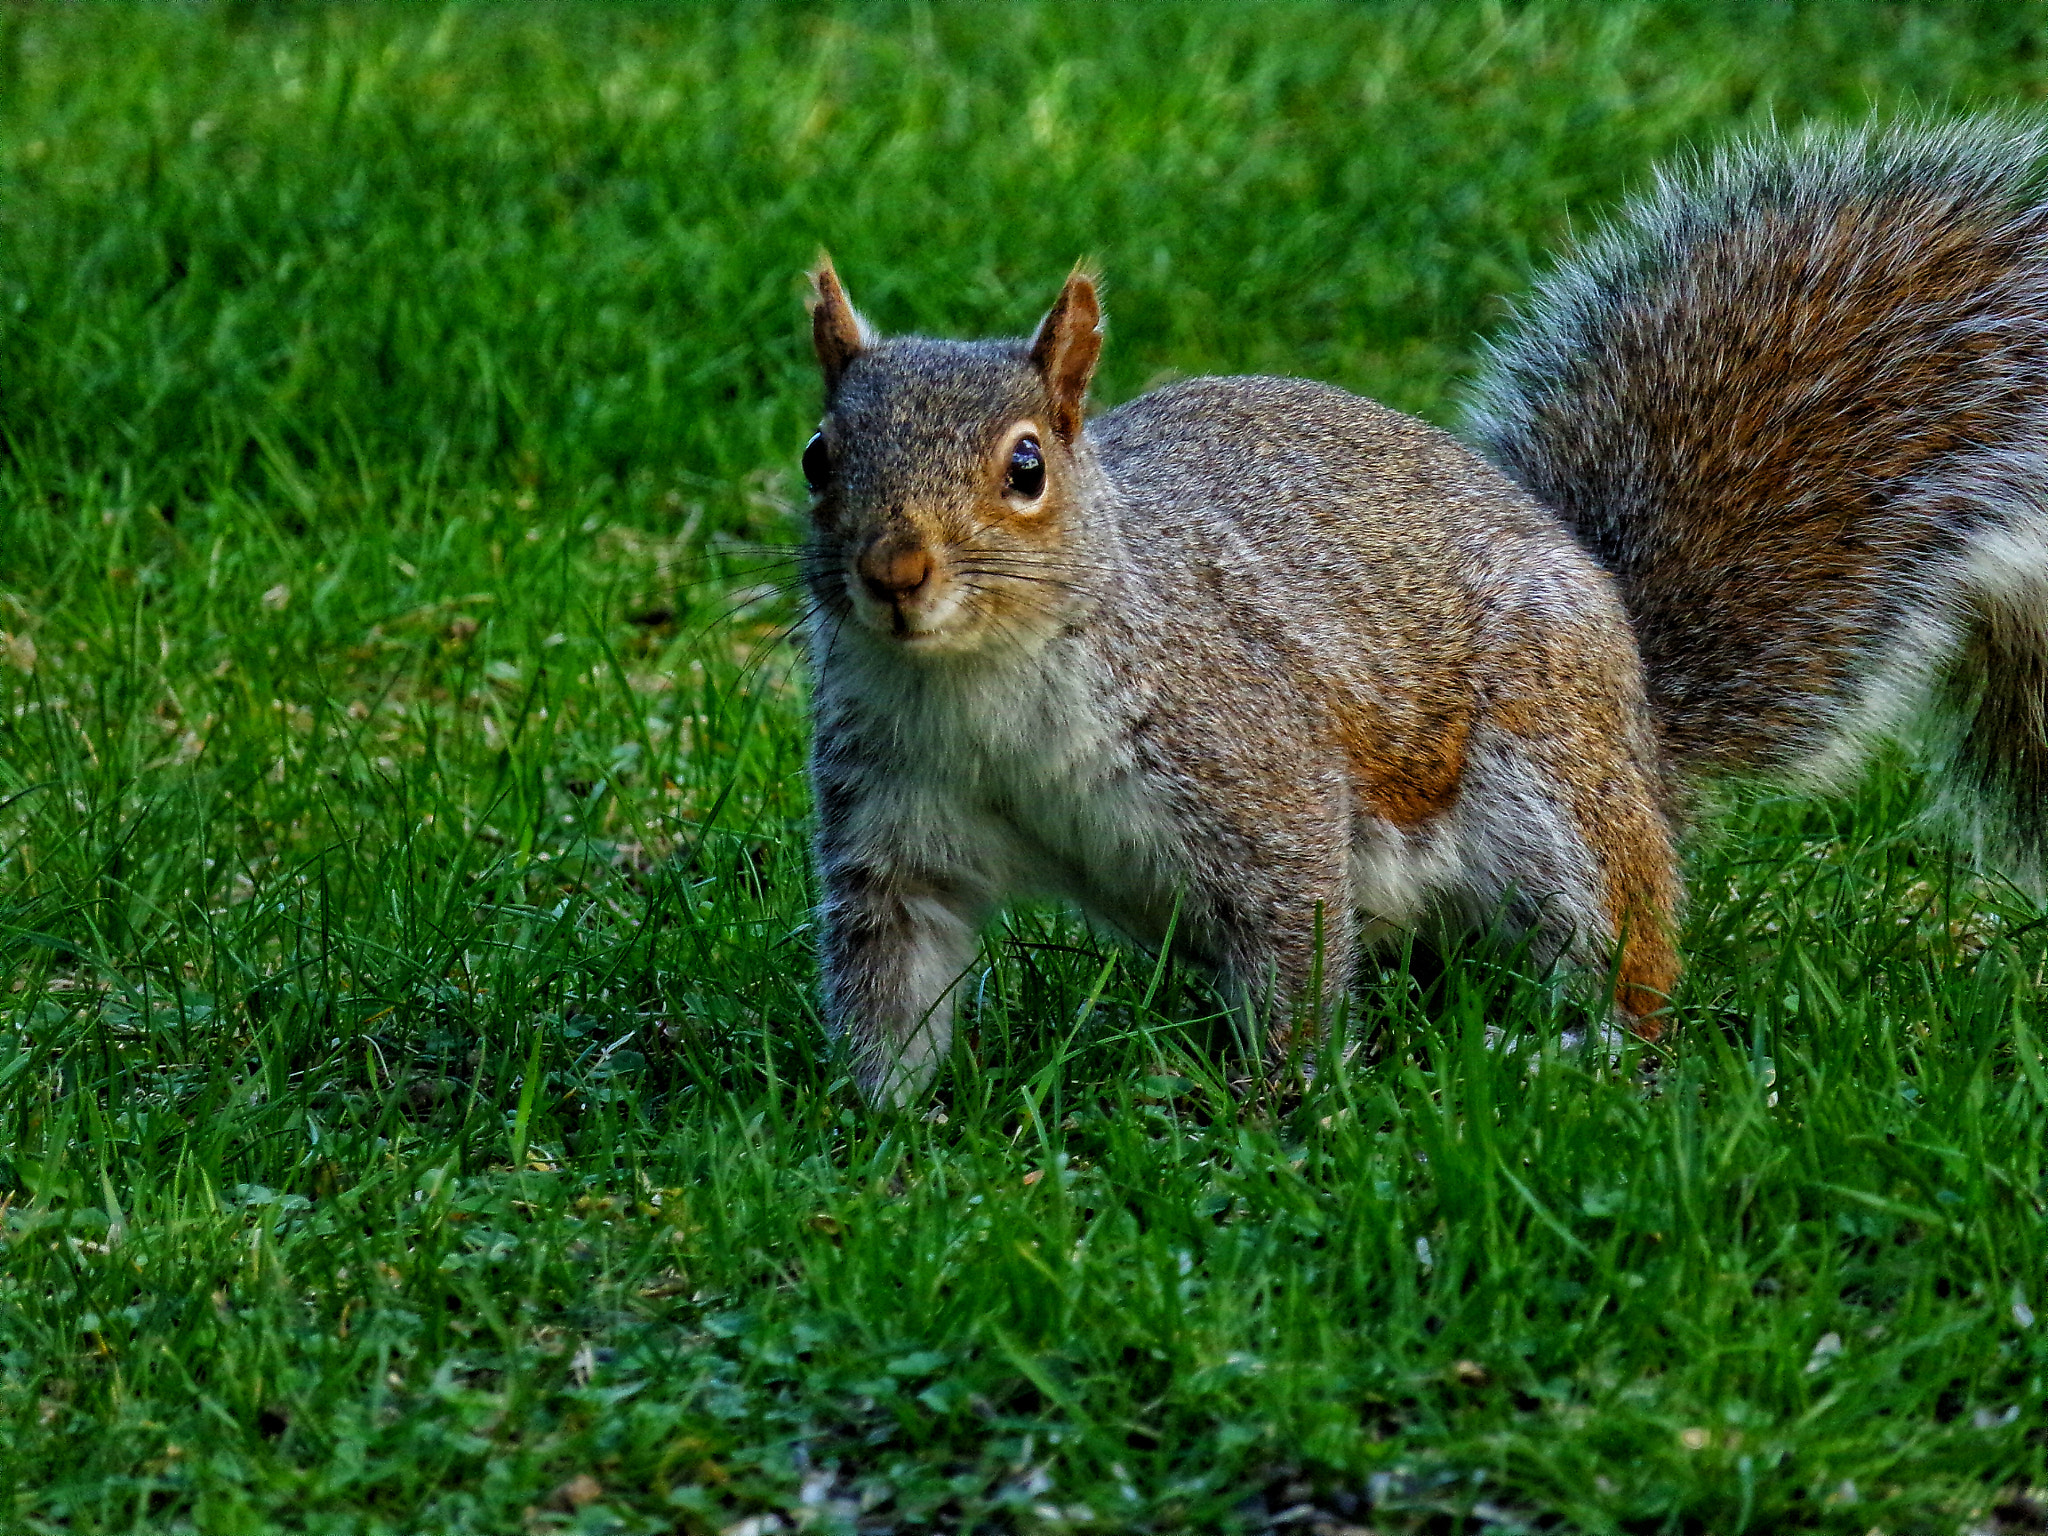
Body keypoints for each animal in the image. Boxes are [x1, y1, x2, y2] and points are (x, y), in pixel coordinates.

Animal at [797, 117, 2048, 1107]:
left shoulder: (1249, 770)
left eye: (1025, 468)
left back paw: (1568, 1050)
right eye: (817, 456)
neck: (979, 679)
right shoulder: (892, 826)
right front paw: (881, 1127)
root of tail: (1643, 725)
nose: (893, 572)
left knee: (1629, 972)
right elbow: (893, 978)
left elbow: (1294, 945)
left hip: (1552, 797)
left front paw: (1273, 1102)